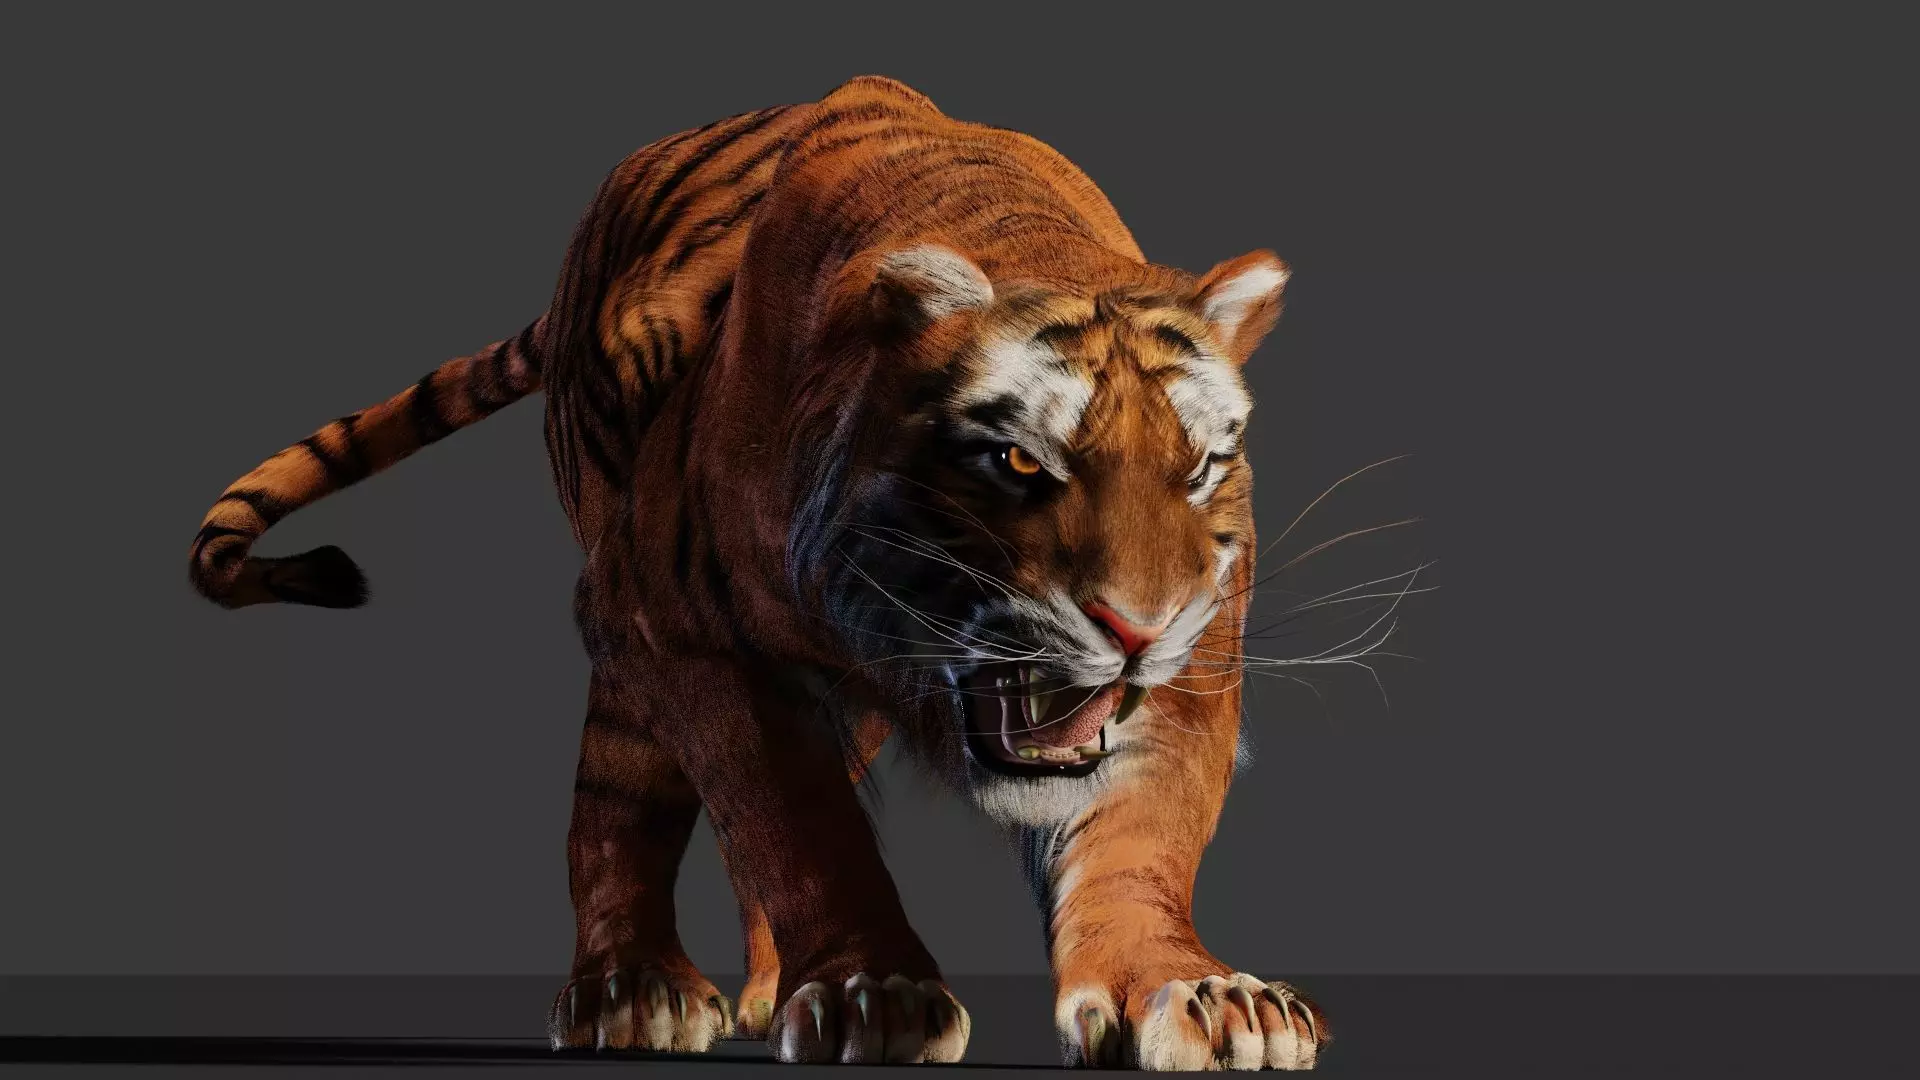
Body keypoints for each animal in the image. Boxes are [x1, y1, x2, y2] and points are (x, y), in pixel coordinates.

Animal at [187, 75, 1329, 1069]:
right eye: (1017, 462)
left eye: (1200, 466)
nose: (1138, 626)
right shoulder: (689, 627)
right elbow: (793, 823)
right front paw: (873, 993)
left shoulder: (1193, 666)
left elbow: (1140, 836)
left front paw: (1198, 996)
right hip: (624, 611)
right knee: (618, 801)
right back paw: (629, 989)